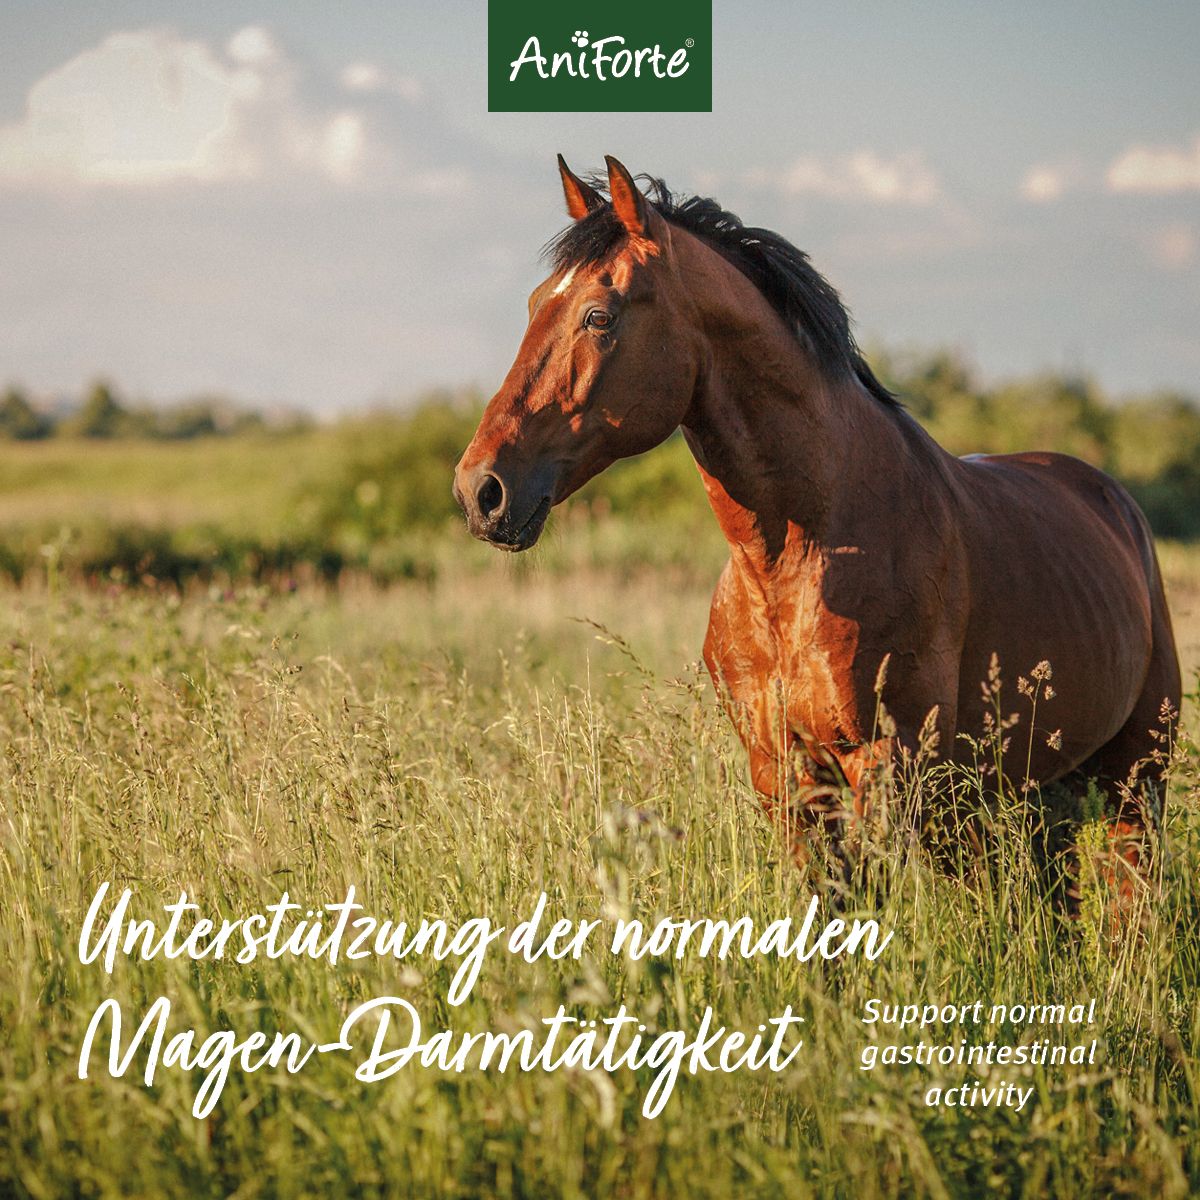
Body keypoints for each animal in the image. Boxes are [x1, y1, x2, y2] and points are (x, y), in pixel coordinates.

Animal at [453, 154, 1181, 882]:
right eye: (535, 304)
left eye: (599, 316)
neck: (801, 558)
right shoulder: (783, 773)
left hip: (1133, 778)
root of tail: (1112, 500)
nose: (480, 491)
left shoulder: (888, 766)